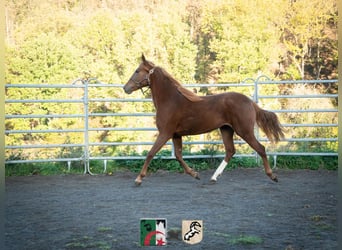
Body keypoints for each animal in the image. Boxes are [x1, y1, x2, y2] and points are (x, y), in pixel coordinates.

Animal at [123, 56, 284, 186]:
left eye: (137, 71)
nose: (126, 88)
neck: (170, 100)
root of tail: (250, 102)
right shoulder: (176, 135)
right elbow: (178, 156)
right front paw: (195, 174)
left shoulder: (165, 133)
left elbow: (151, 153)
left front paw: (138, 179)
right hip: (226, 129)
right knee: (230, 151)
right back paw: (213, 177)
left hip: (244, 131)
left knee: (260, 149)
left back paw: (273, 176)